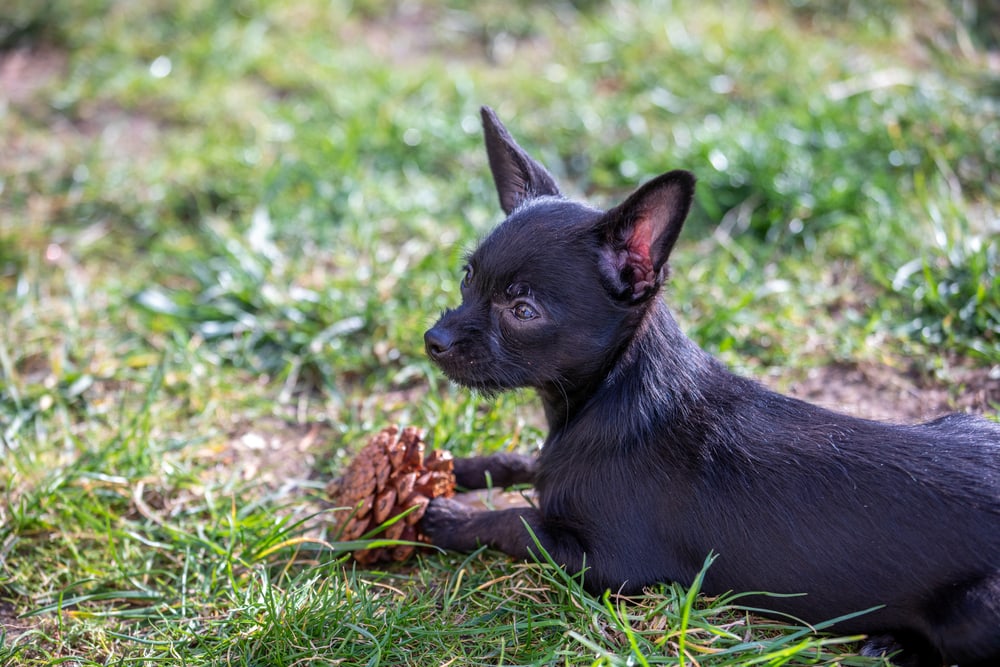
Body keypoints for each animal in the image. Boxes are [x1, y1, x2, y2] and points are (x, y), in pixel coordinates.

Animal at [422, 107, 1000, 664]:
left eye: (523, 310)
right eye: (467, 278)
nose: (433, 339)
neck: (609, 393)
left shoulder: (607, 566)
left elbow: (517, 522)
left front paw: (448, 516)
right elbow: (520, 461)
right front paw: (453, 465)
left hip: (975, 609)